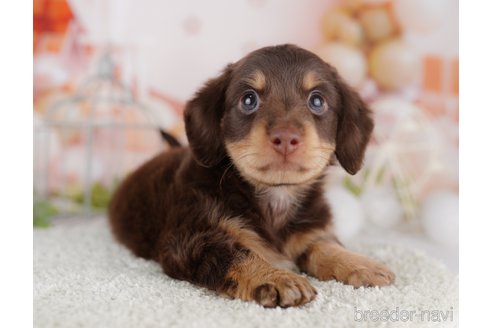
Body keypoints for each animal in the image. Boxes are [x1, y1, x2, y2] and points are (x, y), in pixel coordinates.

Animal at [108, 43, 396, 308]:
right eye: (249, 100)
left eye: (317, 101)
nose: (286, 138)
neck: (276, 196)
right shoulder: (191, 239)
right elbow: (237, 254)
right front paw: (275, 277)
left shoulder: (310, 232)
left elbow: (325, 246)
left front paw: (361, 263)